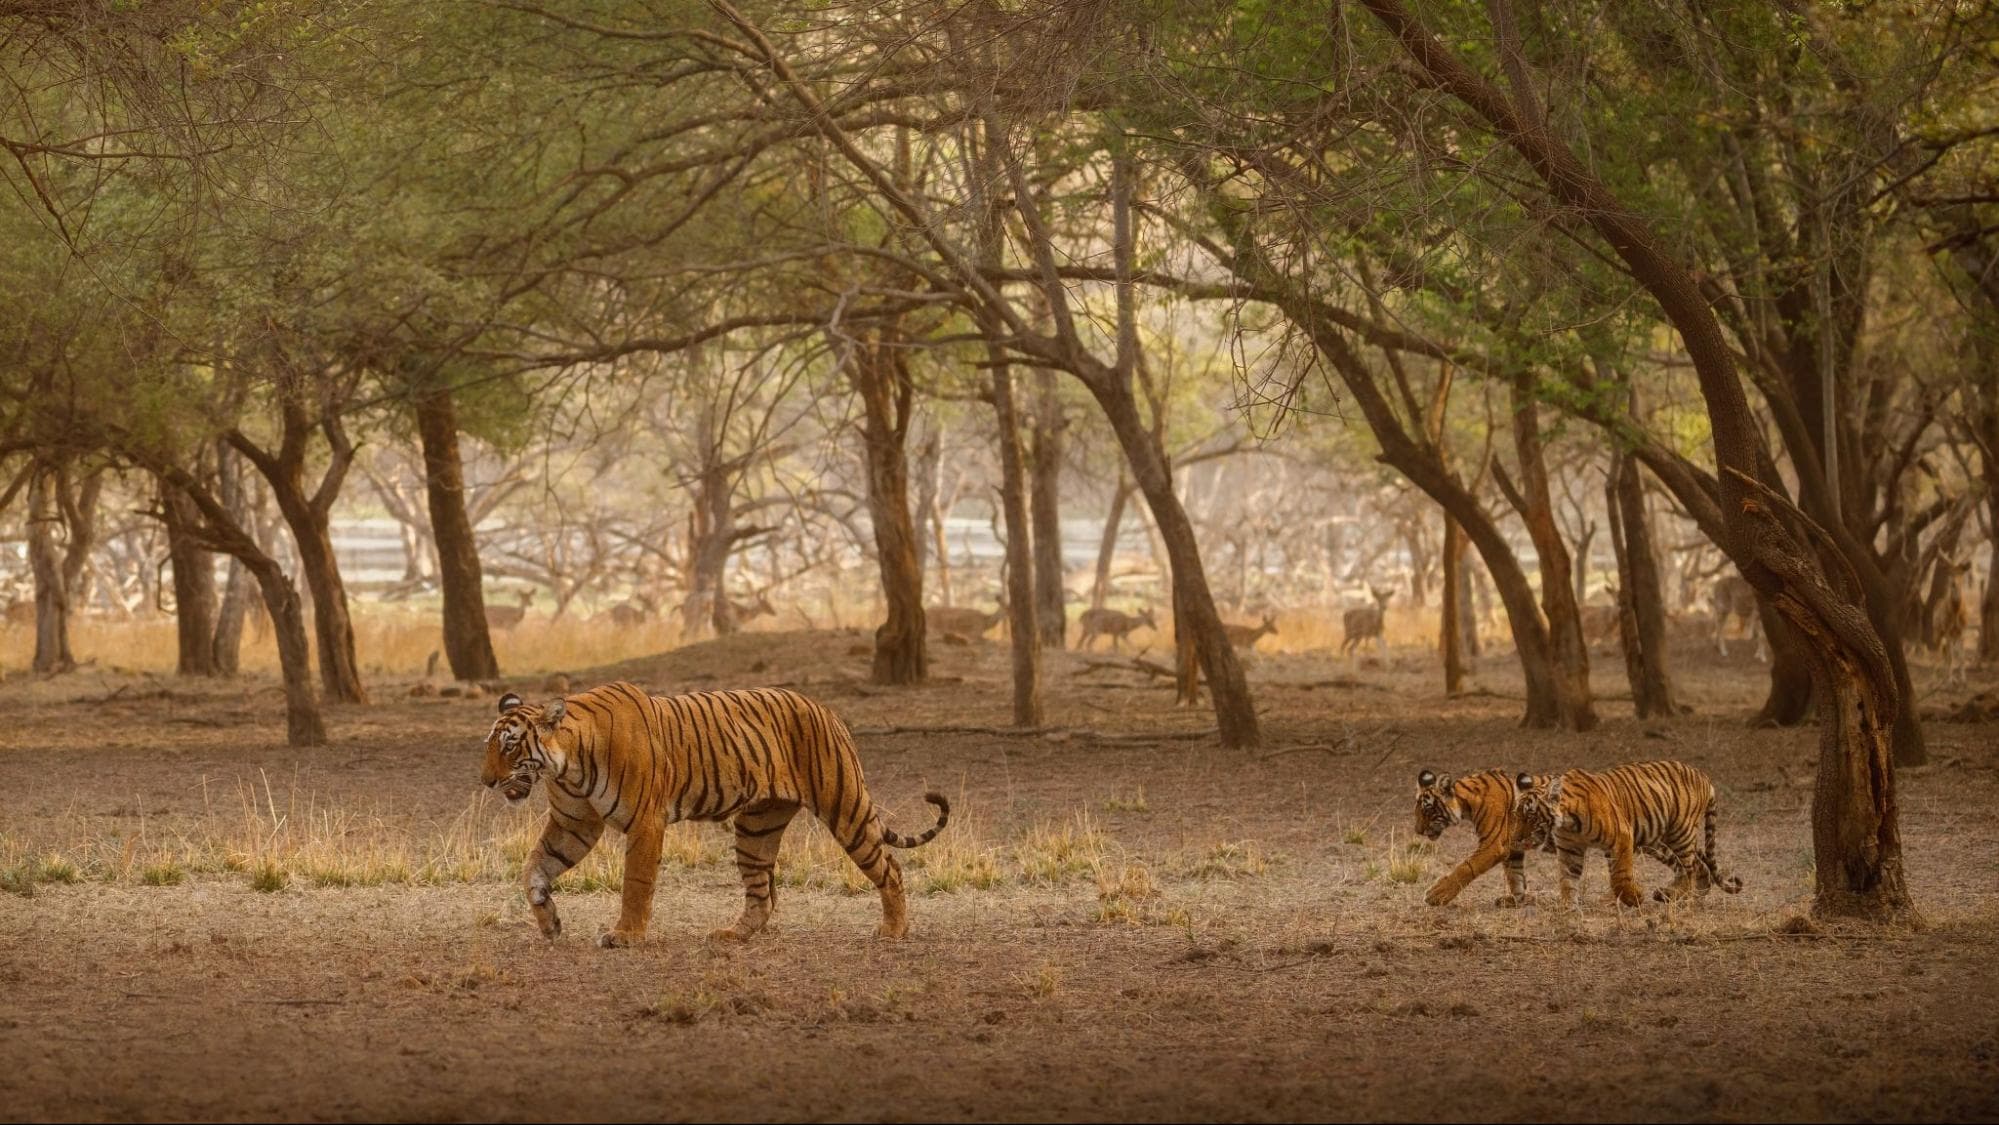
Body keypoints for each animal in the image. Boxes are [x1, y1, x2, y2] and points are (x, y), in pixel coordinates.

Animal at [480, 680, 949, 947]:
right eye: (490, 745)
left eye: (509, 746)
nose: (485, 781)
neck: (567, 766)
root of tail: (825, 708)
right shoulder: (573, 824)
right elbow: (534, 868)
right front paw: (548, 922)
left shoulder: (645, 821)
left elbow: (635, 883)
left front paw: (626, 935)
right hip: (756, 827)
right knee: (761, 894)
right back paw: (732, 936)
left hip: (845, 807)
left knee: (890, 868)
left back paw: (893, 931)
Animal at [1414, 768, 1554, 907]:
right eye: (1417, 810)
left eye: (1428, 811)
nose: (1418, 831)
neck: (1466, 804)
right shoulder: (1513, 847)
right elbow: (1515, 876)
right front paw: (1516, 900)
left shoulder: (1493, 845)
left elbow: (1466, 867)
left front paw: (1437, 894)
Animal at [1512, 760, 1744, 907]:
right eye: (1517, 815)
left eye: (1531, 816)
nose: (1516, 838)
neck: (1567, 822)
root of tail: (1703, 776)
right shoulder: (1570, 848)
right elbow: (1567, 880)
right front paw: (1568, 908)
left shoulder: (1621, 837)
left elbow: (1619, 877)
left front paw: (1635, 898)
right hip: (1657, 843)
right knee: (1696, 865)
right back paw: (1687, 896)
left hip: (1680, 832)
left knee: (1689, 868)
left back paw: (1675, 895)